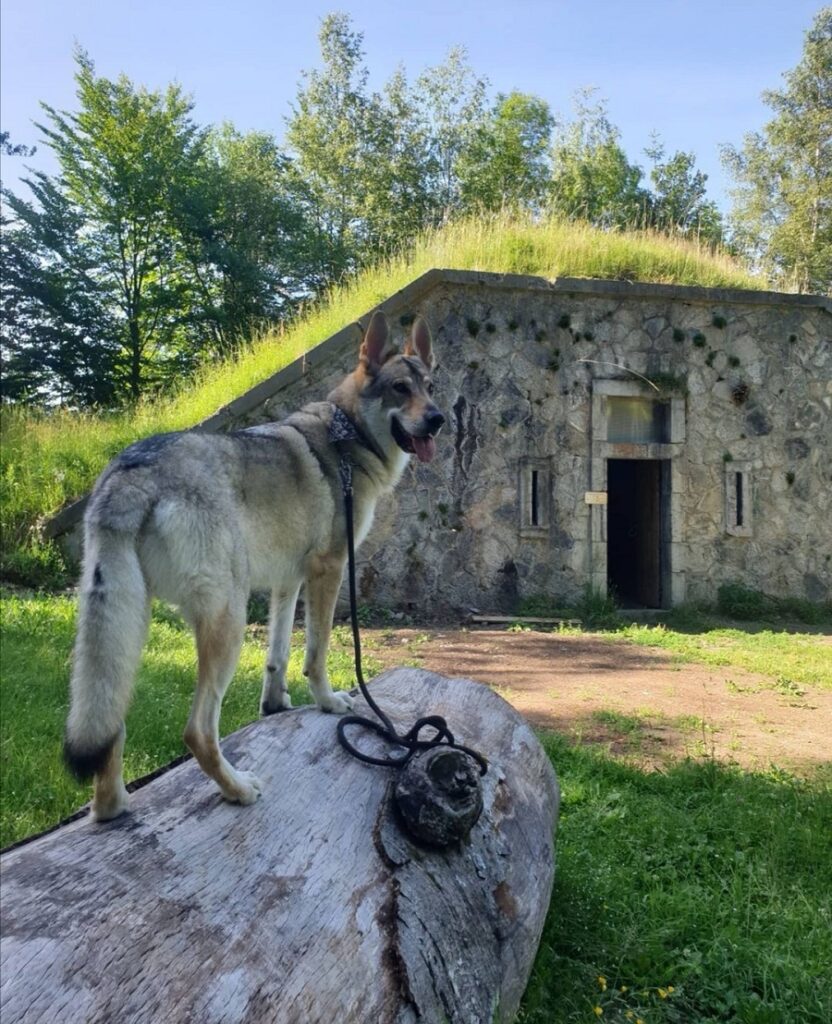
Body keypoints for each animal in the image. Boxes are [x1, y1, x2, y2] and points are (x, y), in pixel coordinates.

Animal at [64, 307, 442, 819]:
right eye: (400, 389)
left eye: (431, 387)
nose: (439, 419)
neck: (348, 436)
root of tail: (132, 467)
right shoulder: (328, 571)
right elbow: (316, 654)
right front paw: (328, 703)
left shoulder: (289, 581)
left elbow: (278, 657)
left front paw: (275, 706)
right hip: (229, 618)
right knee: (197, 732)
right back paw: (237, 789)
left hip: (126, 629)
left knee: (111, 729)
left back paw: (114, 807)